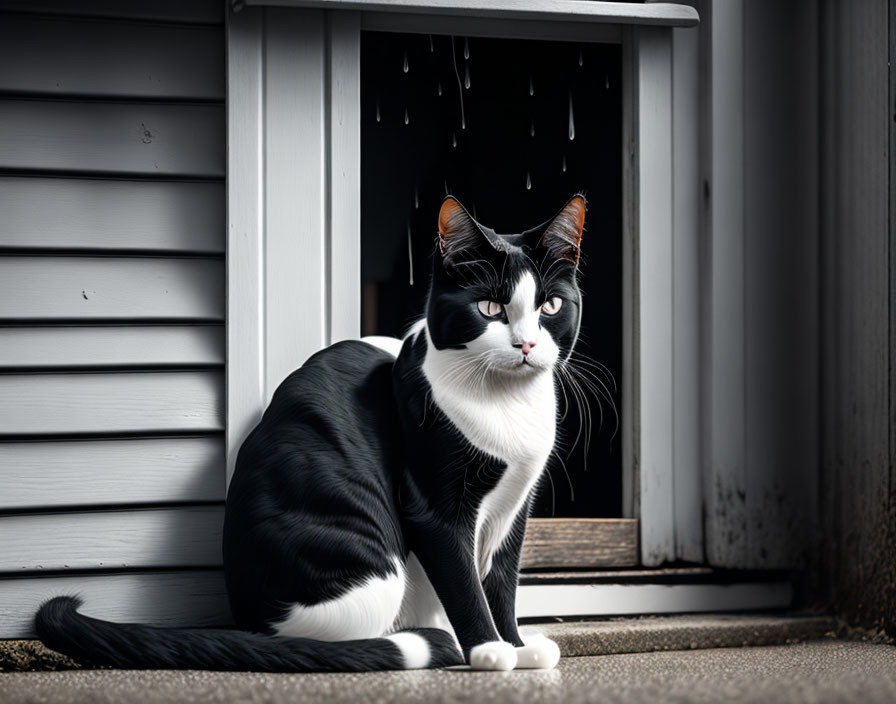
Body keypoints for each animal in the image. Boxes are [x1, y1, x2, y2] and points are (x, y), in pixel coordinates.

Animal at [36, 192, 588, 672]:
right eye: (490, 309)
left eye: (550, 307)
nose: (526, 344)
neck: (507, 405)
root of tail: (252, 624)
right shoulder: (434, 507)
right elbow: (465, 583)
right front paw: (489, 651)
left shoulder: (513, 508)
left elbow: (501, 583)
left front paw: (516, 644)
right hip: (375, 568)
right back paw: (433, 641)